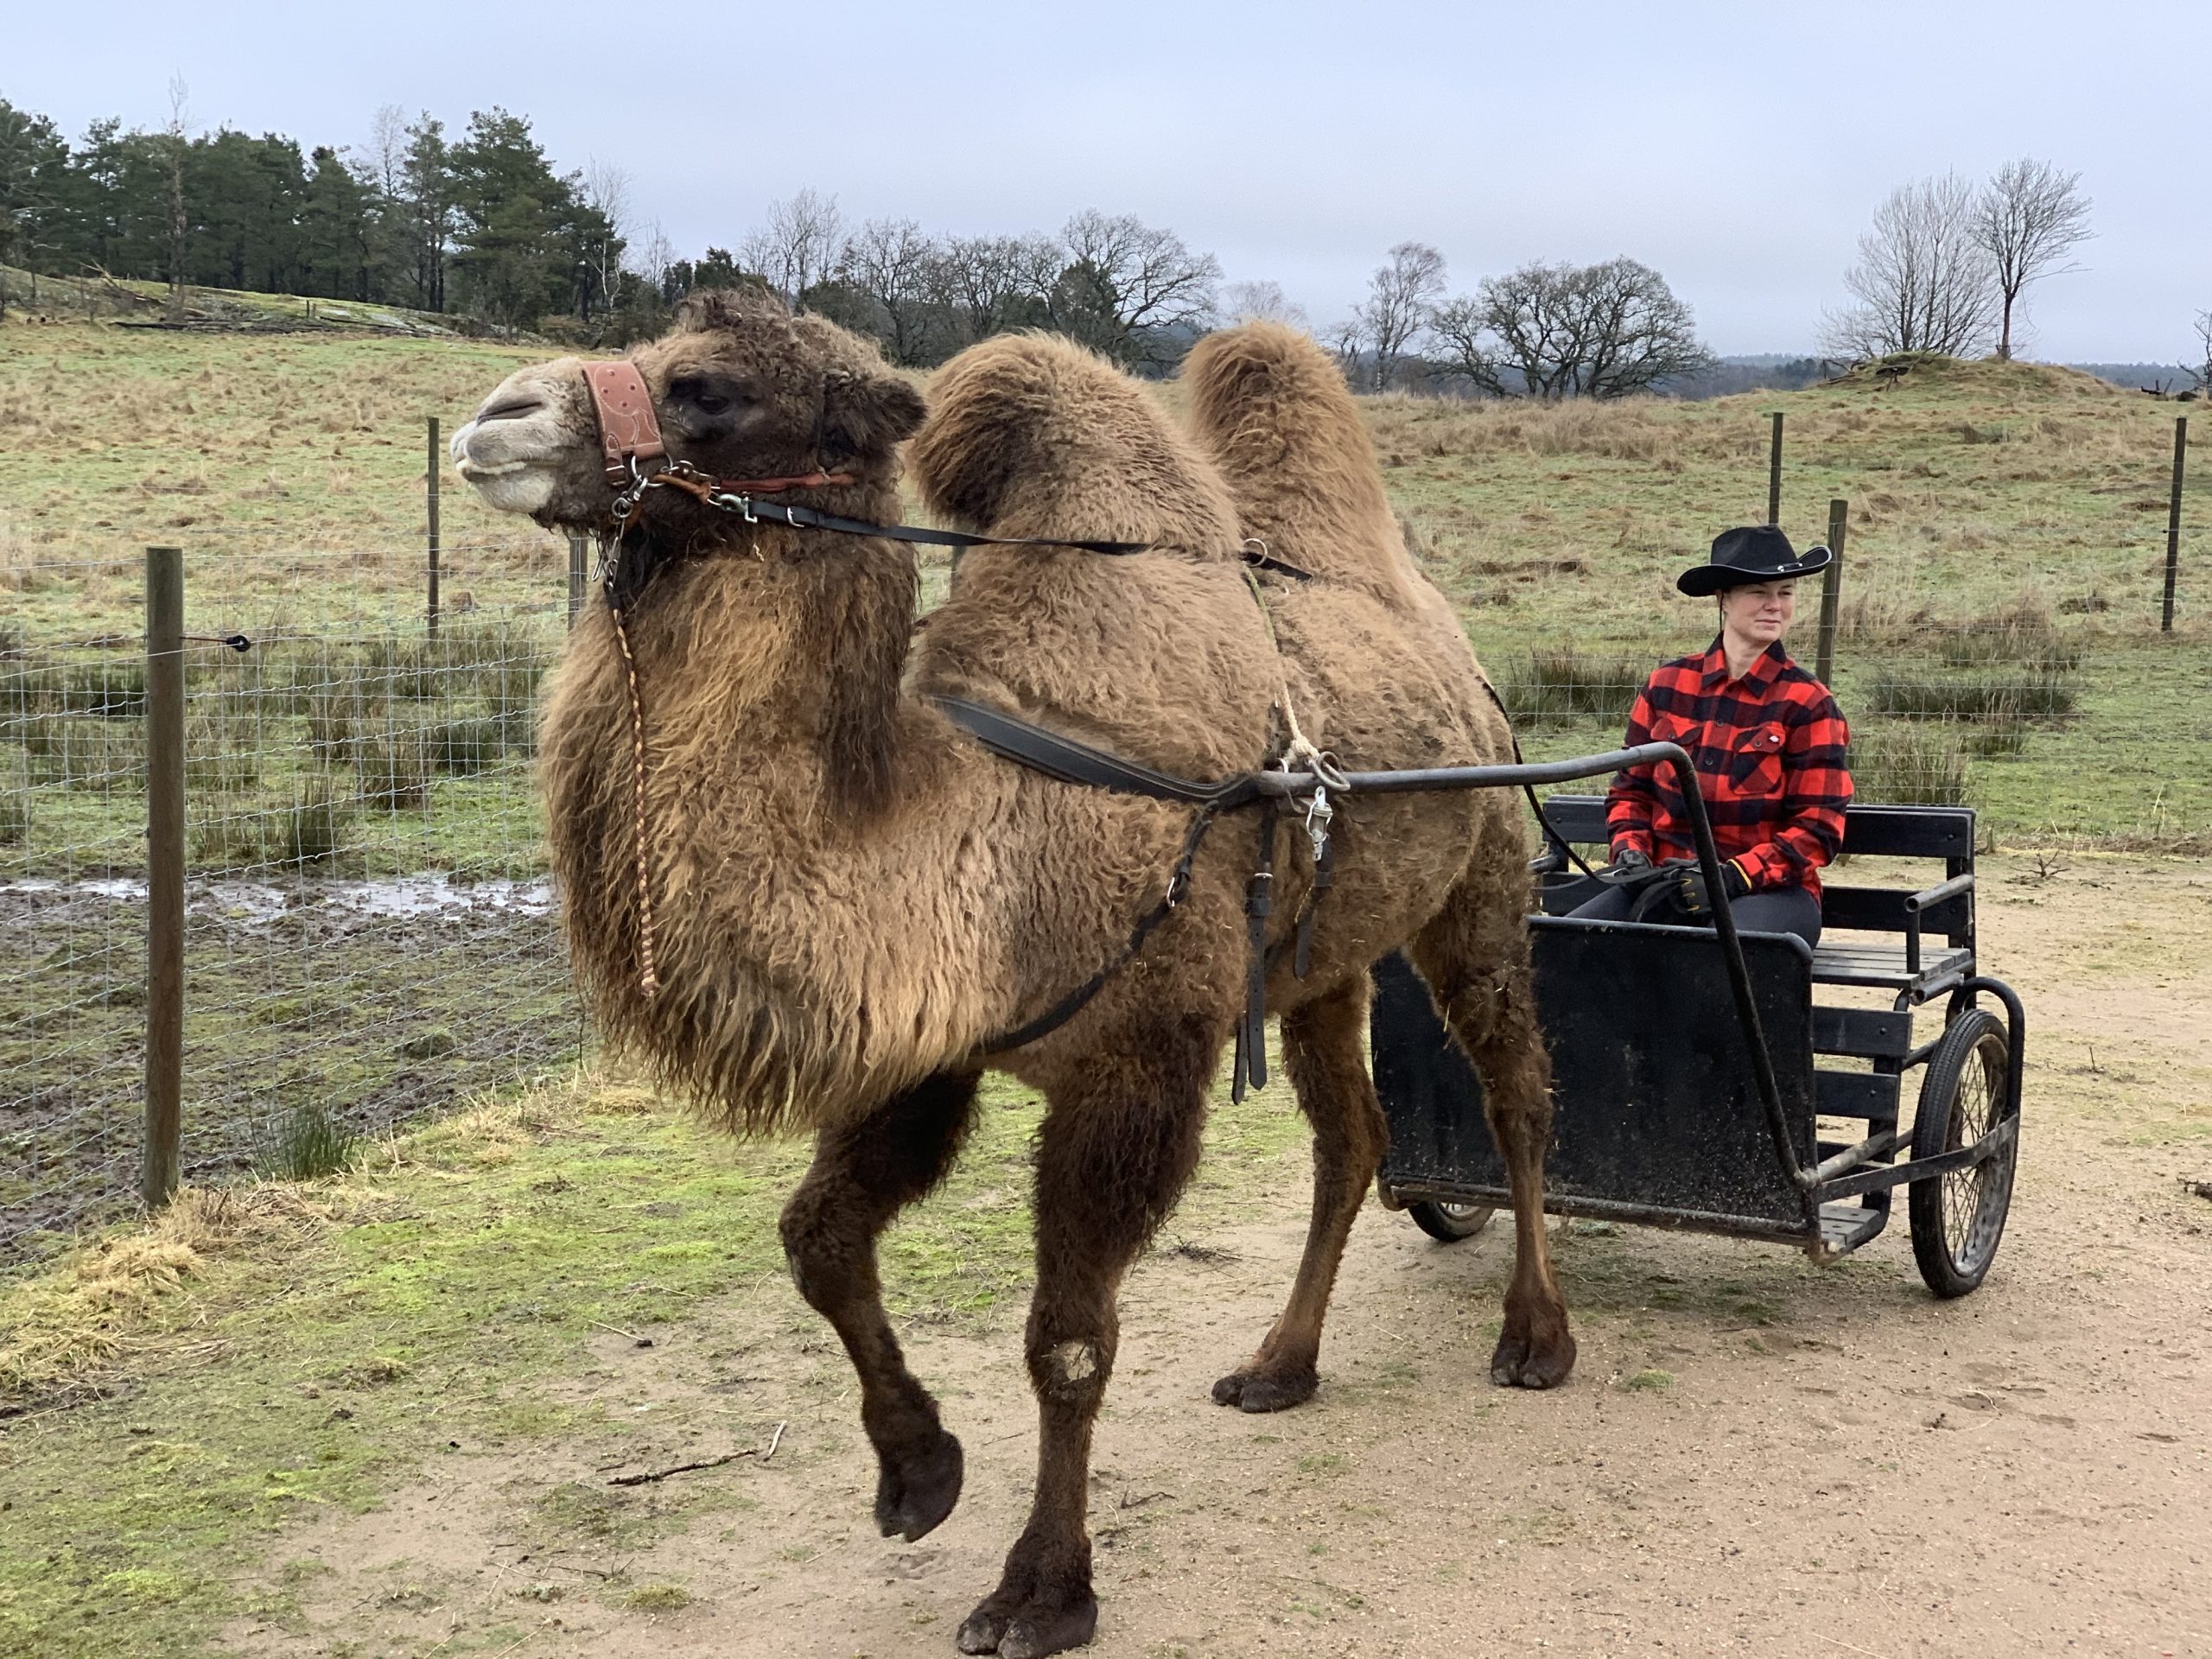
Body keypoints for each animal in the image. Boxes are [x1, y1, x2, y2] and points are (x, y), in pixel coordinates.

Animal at [444, 291, 1574, 1654]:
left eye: (712, 389)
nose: (497, 418)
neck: (981, 812)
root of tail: (1457, 650)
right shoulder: (926, 1048)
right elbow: (817, 1236)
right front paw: (917, 1472)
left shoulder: (1136, 1066)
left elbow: (1068, 1341)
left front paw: (1044, 1590)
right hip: (1316, 961)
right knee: (1351, 1136)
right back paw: (1279, 1366)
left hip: (1484, 872)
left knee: (1514, 1087)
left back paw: (1536, 1338)